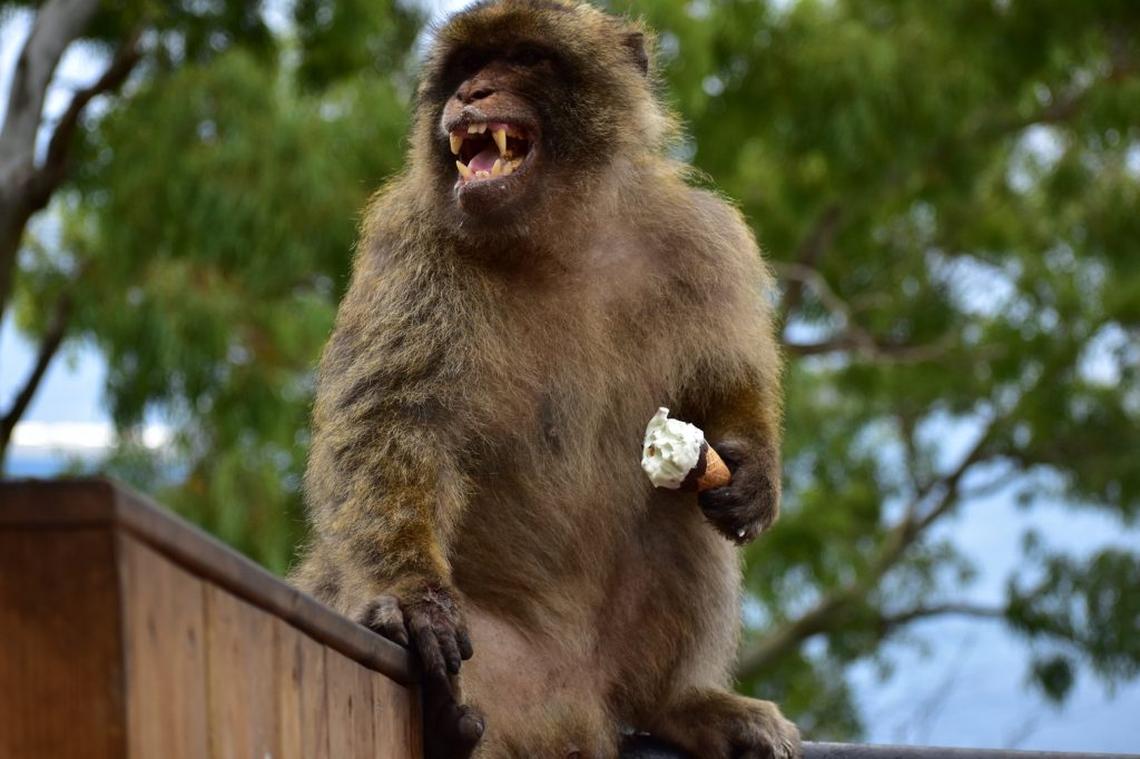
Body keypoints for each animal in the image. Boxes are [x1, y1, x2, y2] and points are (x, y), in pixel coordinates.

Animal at [290, 1, 799, 757]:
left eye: (525, 58)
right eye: (469, 66)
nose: (470, 93)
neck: (560, 235)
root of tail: (577, 701)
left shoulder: (702, 239)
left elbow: (722, 381)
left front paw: (753, 469)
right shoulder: (410, 248)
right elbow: (389, 426)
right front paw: (412, 597)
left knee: (679, 513)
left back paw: (680, 703)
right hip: (499, 666)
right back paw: (445, 719)